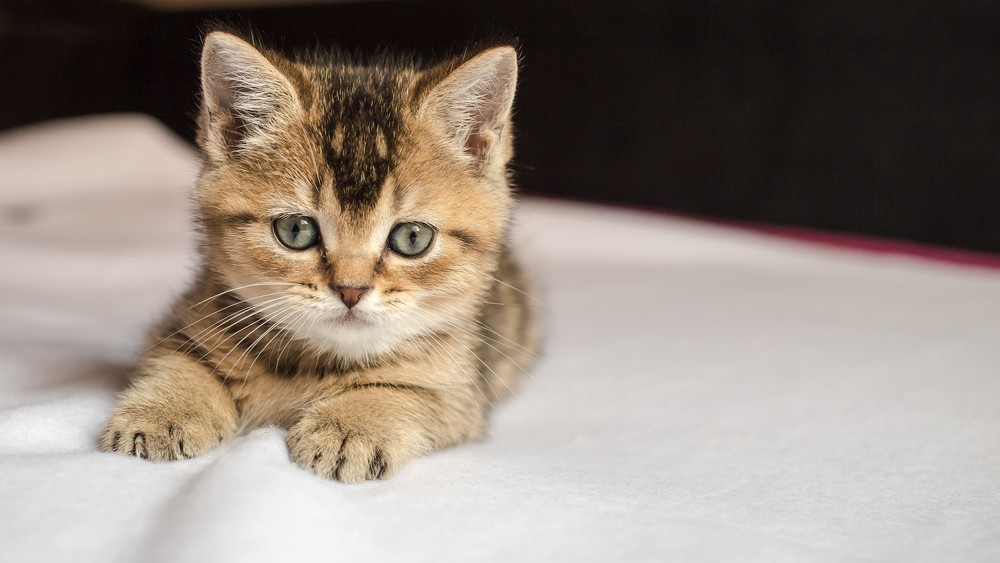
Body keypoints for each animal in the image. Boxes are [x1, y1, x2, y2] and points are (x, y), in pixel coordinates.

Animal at [100, 29, 540, 484]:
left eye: (412, 237)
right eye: (296, 231)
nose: (351, 290)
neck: (314, 363)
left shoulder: (460, 391)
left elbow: (404, 392)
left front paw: (352, 426)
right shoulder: (186, 317)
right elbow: (181, 360)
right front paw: (164, 410)